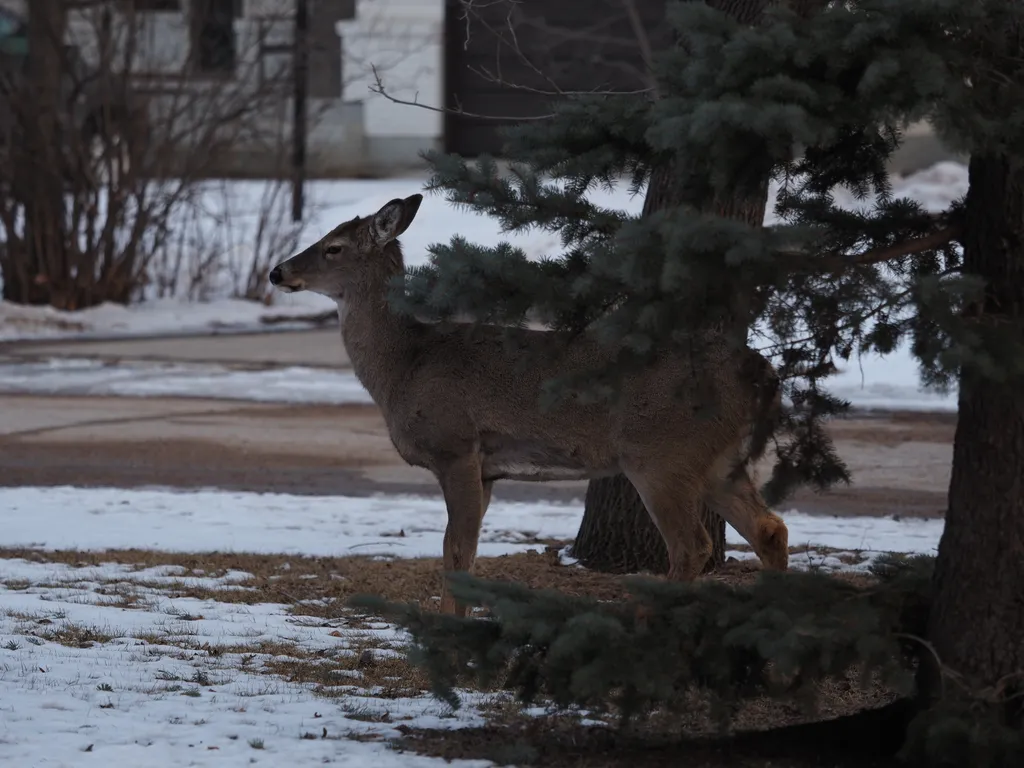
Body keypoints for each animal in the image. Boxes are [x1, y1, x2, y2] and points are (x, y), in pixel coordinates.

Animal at [268, 195, 786, 618]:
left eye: (333, 247)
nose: (277, 272)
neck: (405, 365)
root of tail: (761, 371)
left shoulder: (456, 445)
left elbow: (457, 549)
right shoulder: (488, 469)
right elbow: (461, 550)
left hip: (662, 453)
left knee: (692, 545)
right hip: (718, 459)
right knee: (770, 528)